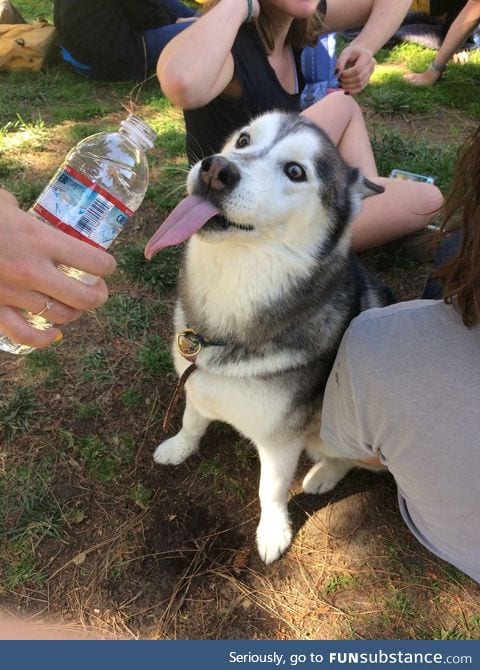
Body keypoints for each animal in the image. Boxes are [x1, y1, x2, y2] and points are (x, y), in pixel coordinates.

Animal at [144, 113, 392, 564]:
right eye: (243, 140)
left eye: (295, 171)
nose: (216, 169)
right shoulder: (197, 384)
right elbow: (192, 420)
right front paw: (180, 446)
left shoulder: (281, 441)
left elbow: (270, 490)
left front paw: (273, 531)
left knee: (349, 458)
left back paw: (322, 476)